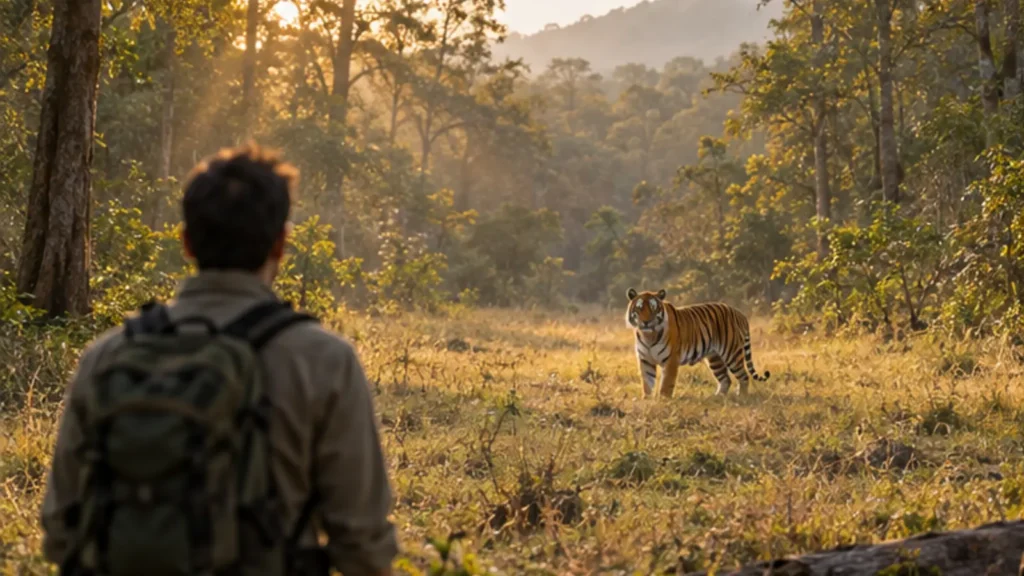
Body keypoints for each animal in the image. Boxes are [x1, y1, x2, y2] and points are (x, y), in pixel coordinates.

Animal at [625, 288, 770, 398]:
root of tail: (740, 314)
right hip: (714, 358)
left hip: (732, 354)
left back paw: (742, 397)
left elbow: (666, 383)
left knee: (744, 376)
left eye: (653, 308)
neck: (648, 335)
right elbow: (647, 382)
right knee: (725, 379)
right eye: (639, 308)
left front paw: (663, 400)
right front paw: (647, 399)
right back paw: (718, 397)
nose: (646, 322)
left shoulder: (671, 360)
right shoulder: (645, 360)